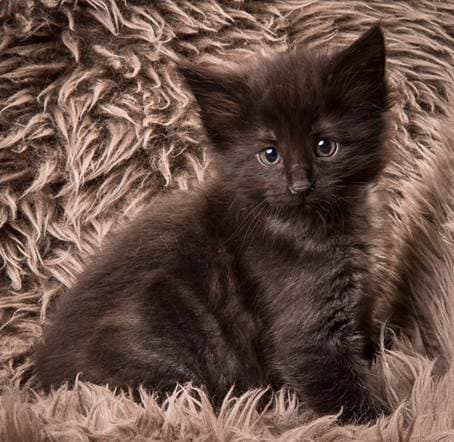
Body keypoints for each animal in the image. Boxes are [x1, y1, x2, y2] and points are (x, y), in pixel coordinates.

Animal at [34, 24, 390, 423]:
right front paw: (385, 419)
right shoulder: (308, 330)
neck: (323, 227)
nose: (300, 186)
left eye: (325, 146)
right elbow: (337, 384)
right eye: (270, 154)